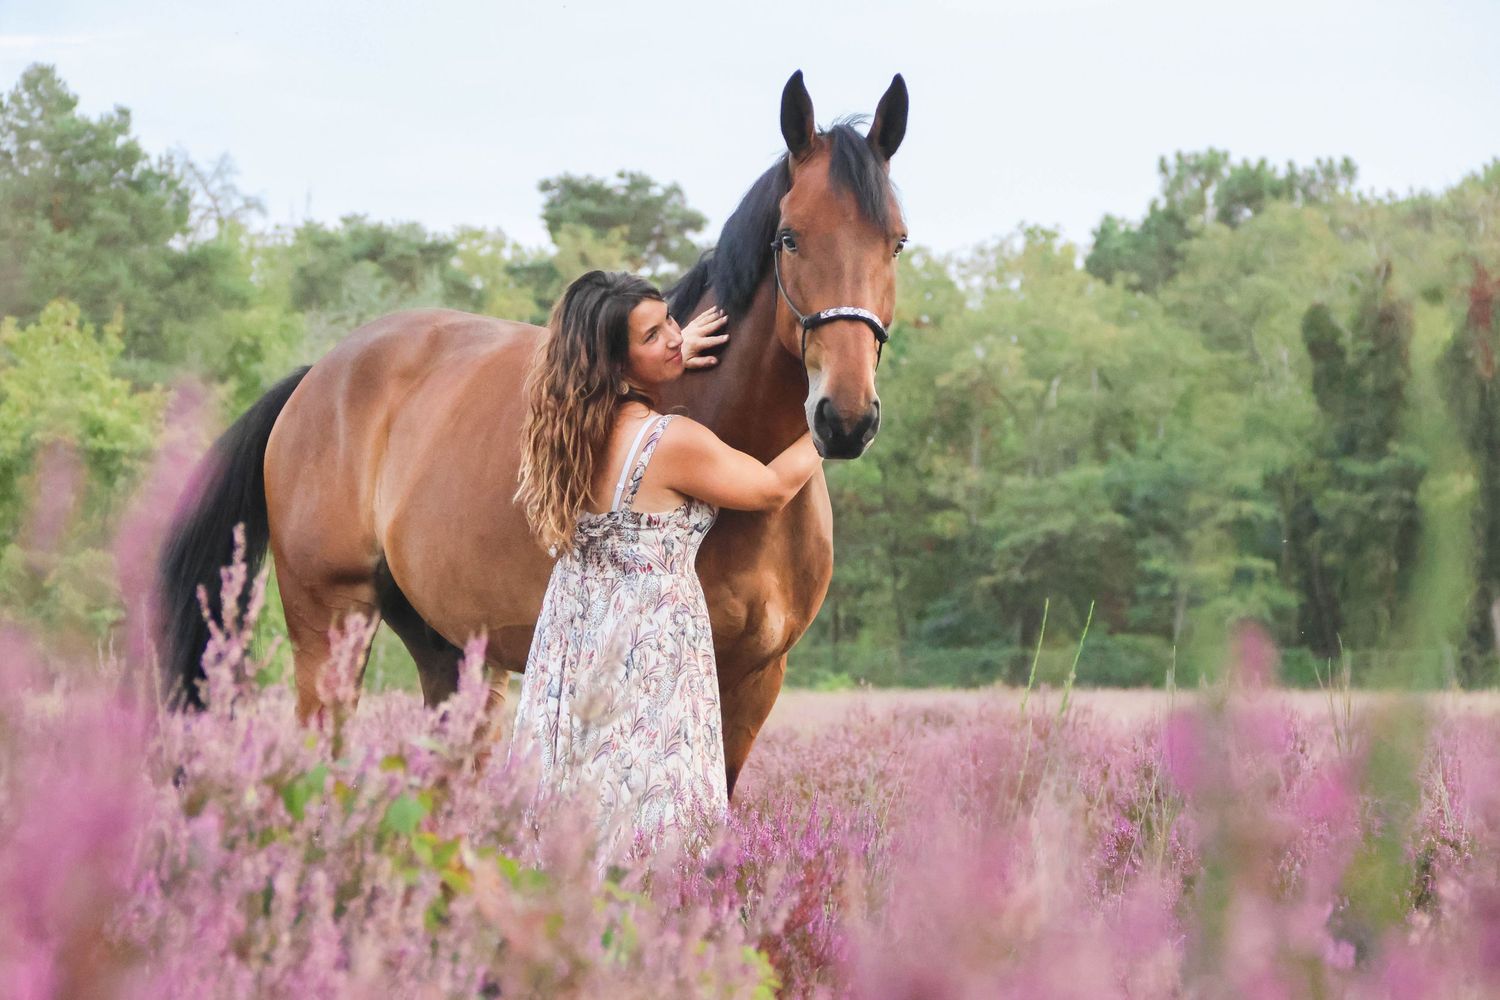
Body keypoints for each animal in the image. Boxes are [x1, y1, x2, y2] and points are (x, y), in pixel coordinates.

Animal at [157, 69, 908, 797]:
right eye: (790, 237)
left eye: (896, 241)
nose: (845, 418)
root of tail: (319, 376)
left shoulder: (756, 679)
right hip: (332, 625)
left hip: (450, 649)